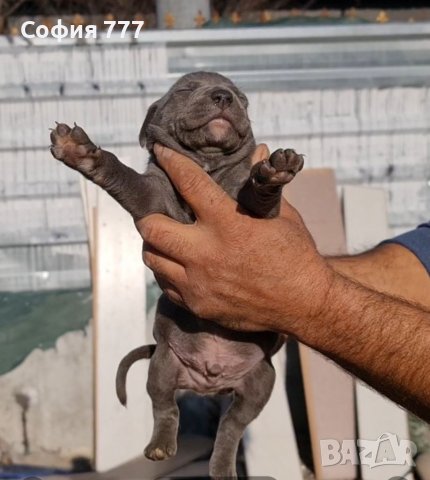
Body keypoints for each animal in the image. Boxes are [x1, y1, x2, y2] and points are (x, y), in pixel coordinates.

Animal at [49, 71, 302, 480]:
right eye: (186, 88)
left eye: (243, 98)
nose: (224, 96)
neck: (206, 165)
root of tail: (209, 381)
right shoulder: (153, 197)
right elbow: (126, 177)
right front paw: (81, 152)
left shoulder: (256, 215)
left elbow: (258, 200)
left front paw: (272, 174)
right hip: (165, 364)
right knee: (166, 406)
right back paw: (161, 446)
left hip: (261, 380)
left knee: (232, 425)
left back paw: (222, 467)